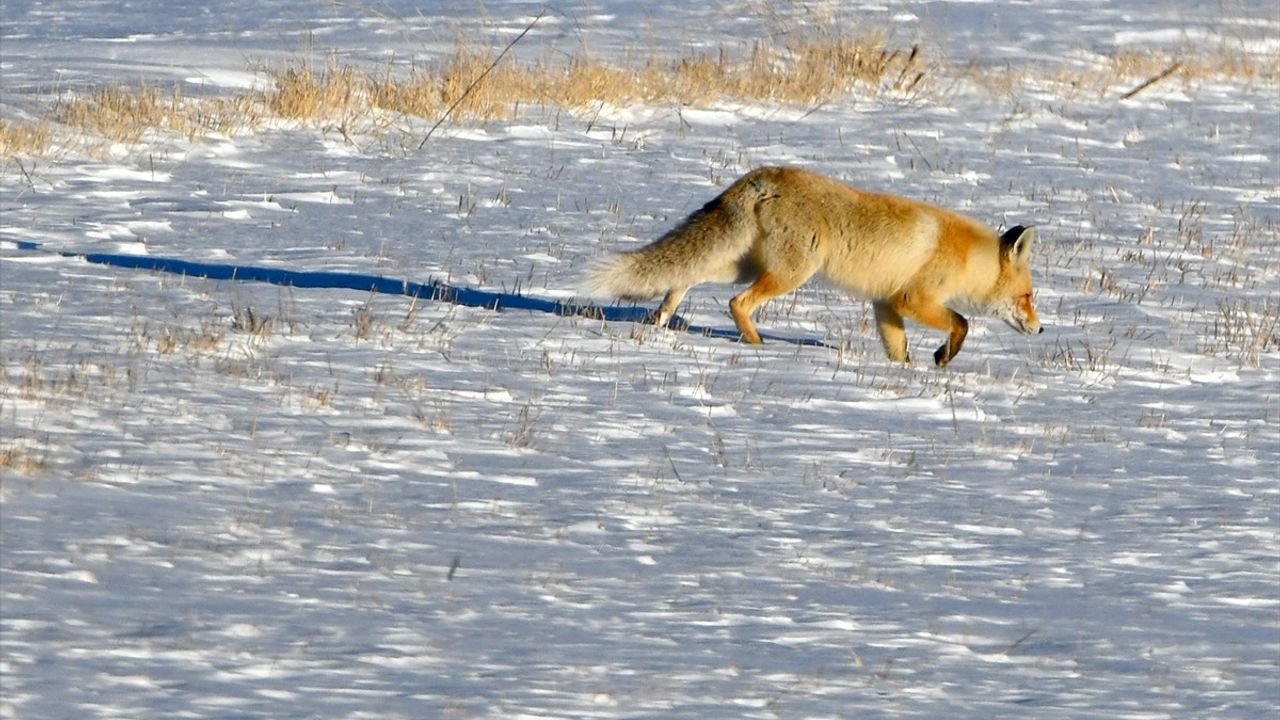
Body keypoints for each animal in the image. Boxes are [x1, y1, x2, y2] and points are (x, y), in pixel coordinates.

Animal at [586, 166, 1044, 363]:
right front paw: (943, 358)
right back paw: (759, 347)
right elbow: (961, 324)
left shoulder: (885, 303)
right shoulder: (913, 299)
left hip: (744, 265)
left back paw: (663, 317)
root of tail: (763, 175)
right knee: (737, 303)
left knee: (687, 275)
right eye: (1027, 296)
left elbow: (899, 351)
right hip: (791, 272)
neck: (966, 255)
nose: (1041, 329)